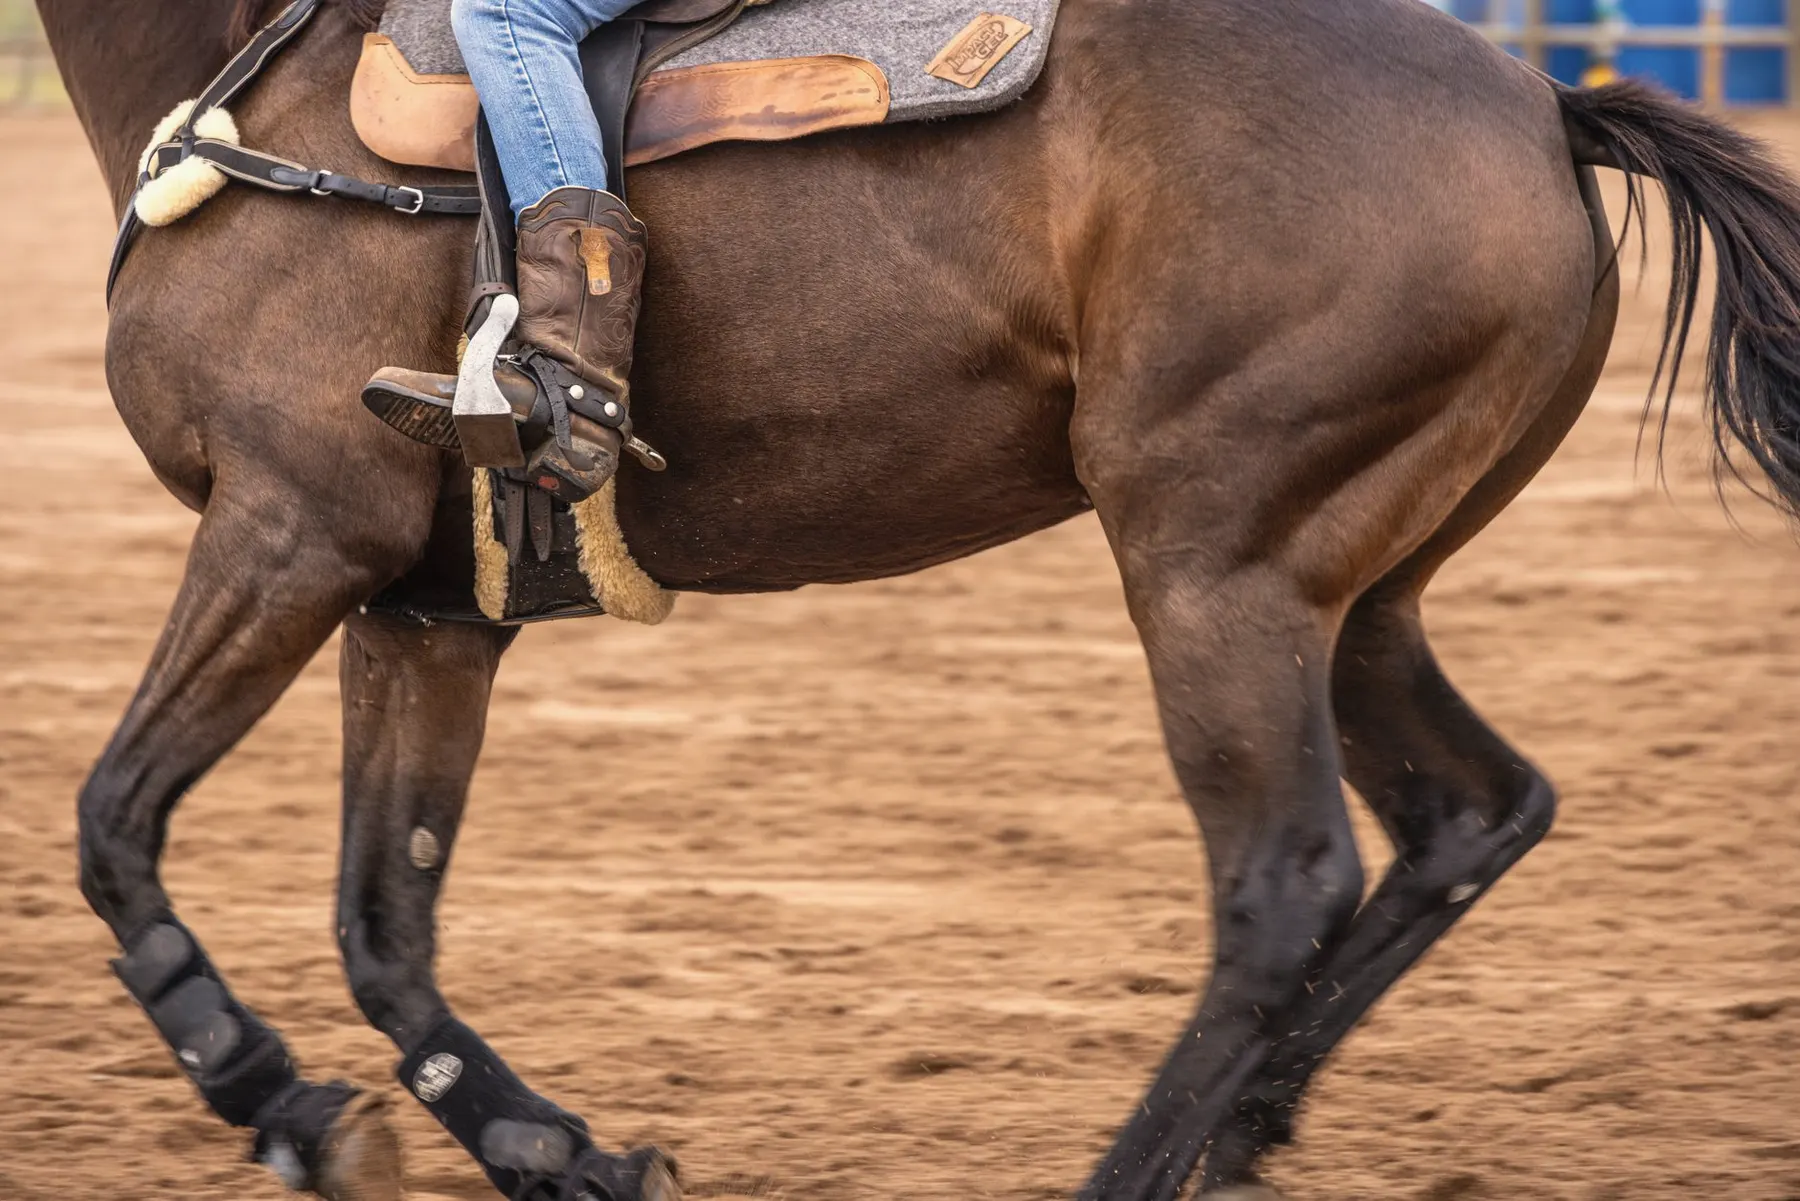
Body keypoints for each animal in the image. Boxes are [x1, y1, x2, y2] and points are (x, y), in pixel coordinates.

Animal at [37, 0, 1800, 1196]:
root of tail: (1542, 103)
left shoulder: (290, 530)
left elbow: (116, 825)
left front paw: (276, 1098)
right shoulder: (420, 608)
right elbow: (383, 924)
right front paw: (553, 1147)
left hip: (1217, 568)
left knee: (1286, 884)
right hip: (1359, 595)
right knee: (1471, 812)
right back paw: (1244, 1131)